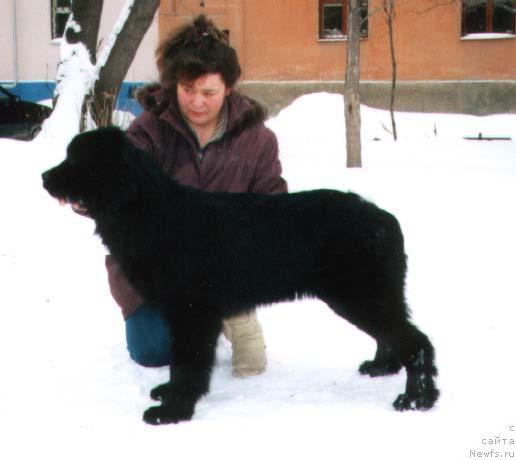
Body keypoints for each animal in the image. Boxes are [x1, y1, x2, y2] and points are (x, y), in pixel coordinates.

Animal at [41, 126, 440, 424]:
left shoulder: (191, 312)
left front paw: (173, 410)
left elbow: (187, 363)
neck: (146, 210)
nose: (44, 176)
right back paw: (381, 368)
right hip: (368, 295)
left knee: (415, 342)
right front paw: (169, 395)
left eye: (76, 157)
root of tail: (385, 219)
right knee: (393, 335)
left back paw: (416, 399)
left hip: (360, 295)